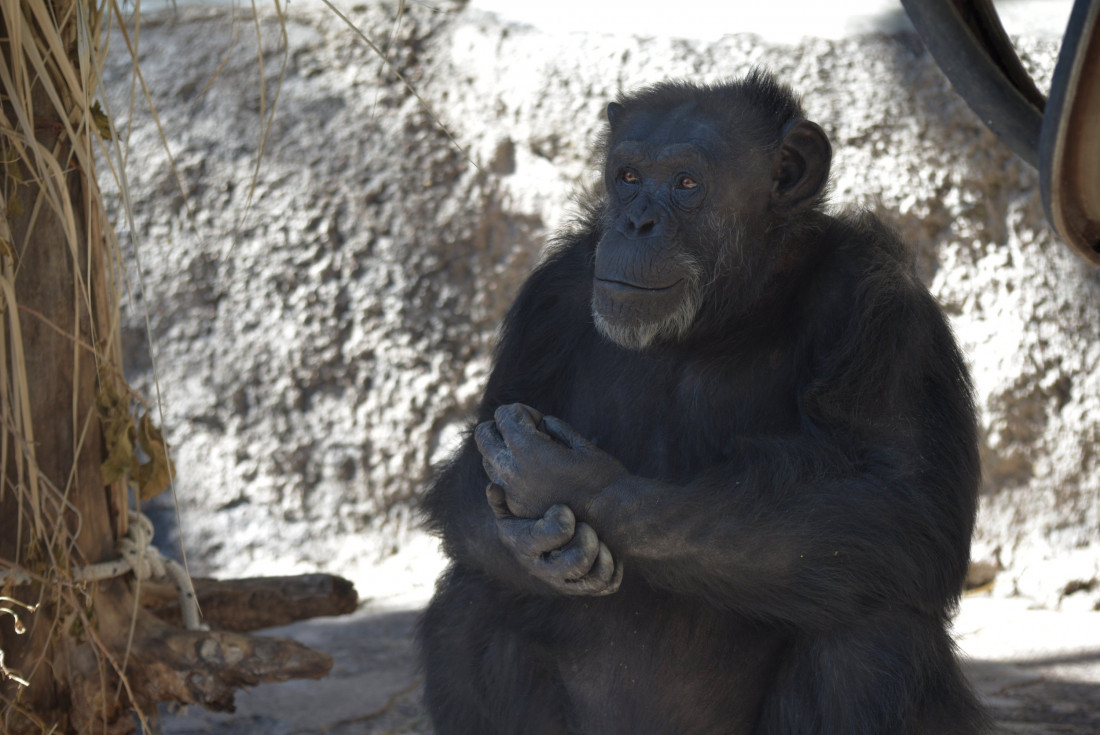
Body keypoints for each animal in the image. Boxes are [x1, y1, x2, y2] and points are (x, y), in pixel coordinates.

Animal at [415, 70, 985, 735]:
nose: (636, 222)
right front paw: (533, 540)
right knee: (472, 599)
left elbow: (901, 501)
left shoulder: (884, 309)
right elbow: (468, 479)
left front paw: (571, 482)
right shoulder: (547, 300)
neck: (723, 314)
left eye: (686, 184)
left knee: (870, 634)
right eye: (628, 176)